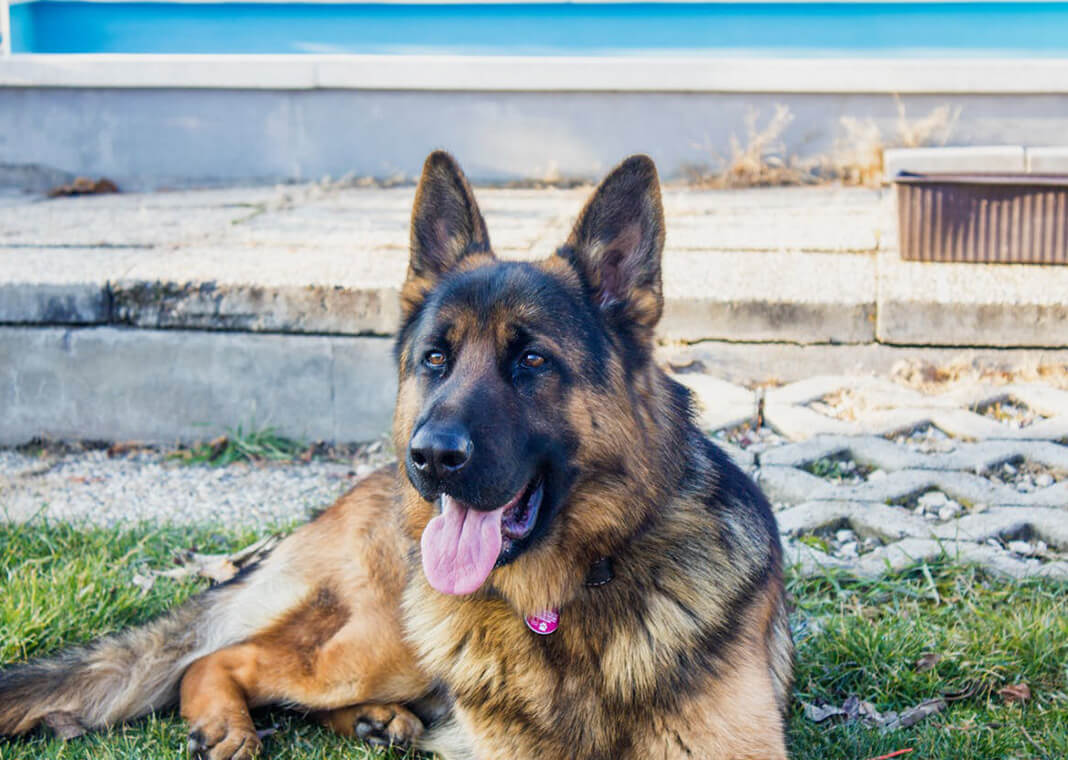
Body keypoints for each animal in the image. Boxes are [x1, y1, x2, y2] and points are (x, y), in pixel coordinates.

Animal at [0, 151, 794, 755]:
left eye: (532, 360)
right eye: (435, 358)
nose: (431, 457)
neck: (565, 598)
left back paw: (376, 723)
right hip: (384, 643)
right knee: (221, 659)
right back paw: (231, 725)